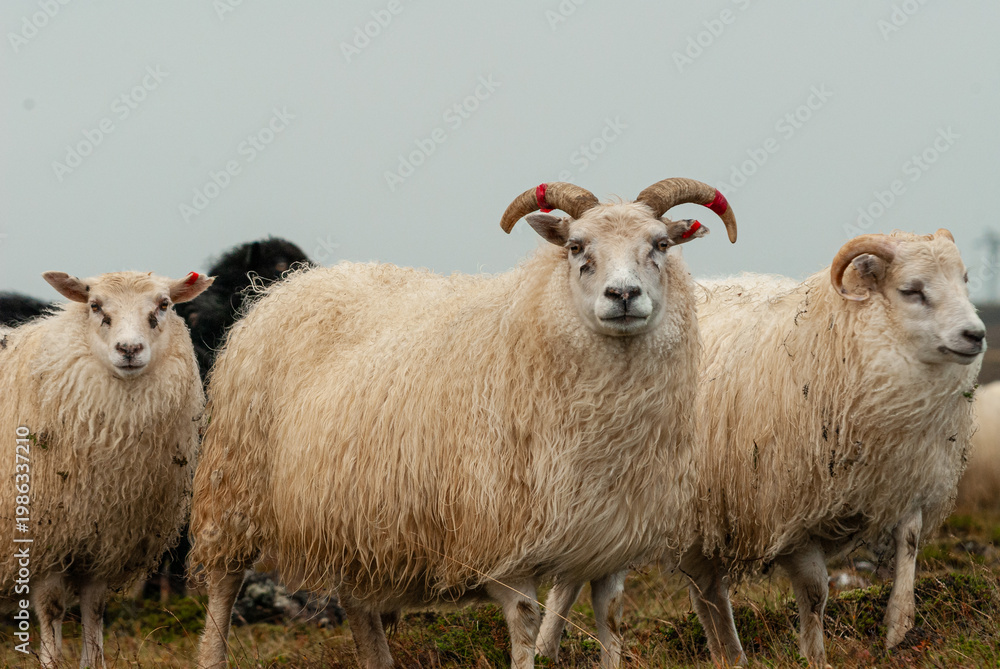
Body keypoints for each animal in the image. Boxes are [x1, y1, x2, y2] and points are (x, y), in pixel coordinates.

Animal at [0, 269, 213, 668]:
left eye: (164, 304)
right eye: (95, 306)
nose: (129, 349)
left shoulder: (105, 544)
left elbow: (95, 612)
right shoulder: (43, 544)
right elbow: (51, 610)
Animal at [189, 177, 739, 669]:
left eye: (661, 244)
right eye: (576, 246)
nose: (622, 295)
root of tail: (285, 288)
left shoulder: (610, 541)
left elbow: (612, 622)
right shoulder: (502, 537)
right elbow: (524, 627)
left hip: (351, 511)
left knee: (358, 602)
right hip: (236, 485)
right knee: (224, 586)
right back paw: (213, 654)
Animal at [538, 230, 984, 667]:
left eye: (964, 280)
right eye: (911, 290)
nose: (976, 335)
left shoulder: (905, 478)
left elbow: (909, 543)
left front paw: (899, 628)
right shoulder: (789, 511)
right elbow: (816, 592)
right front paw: (815, 657)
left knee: (706, 589)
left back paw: (729, 654)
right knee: (571, 582)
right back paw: (544, 649)